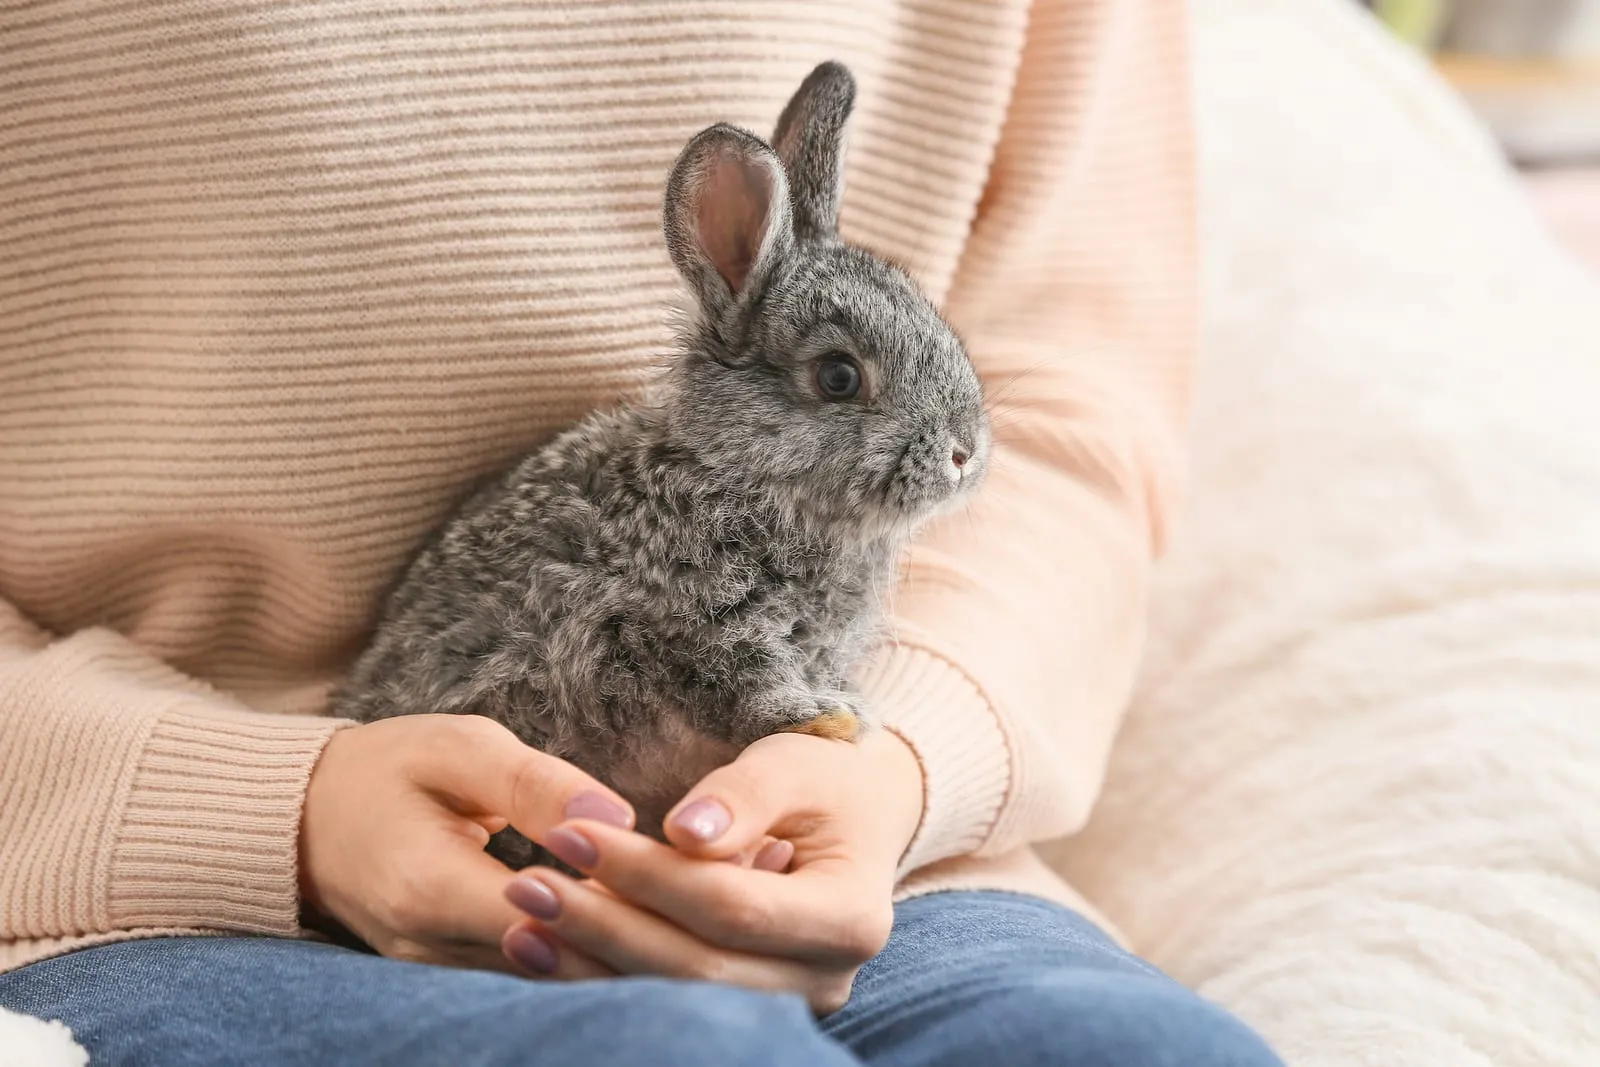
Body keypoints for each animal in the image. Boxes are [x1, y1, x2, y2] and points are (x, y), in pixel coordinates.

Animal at [330, 61, 991, 869]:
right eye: (839, 377)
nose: (965, 452)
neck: (745, 479)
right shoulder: (692, 626)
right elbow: (749, 689)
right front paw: (827, 720)